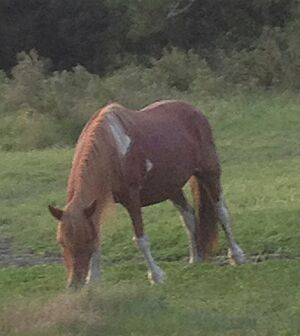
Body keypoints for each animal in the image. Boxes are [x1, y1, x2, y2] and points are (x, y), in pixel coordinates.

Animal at [48, 99, 245, 286]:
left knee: (221, 212)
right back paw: (195, 259)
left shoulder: (131, 198)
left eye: (85, 240)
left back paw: (236, 256)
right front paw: (94, 280)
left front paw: (156, 276)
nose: (75, 282)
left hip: (209, 172)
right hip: (171, 187)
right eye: (61, 242)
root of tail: (195, 110)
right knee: (188, 216)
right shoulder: (97, 205)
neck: (113, 151)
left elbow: (141, 240)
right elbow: (99, 239)